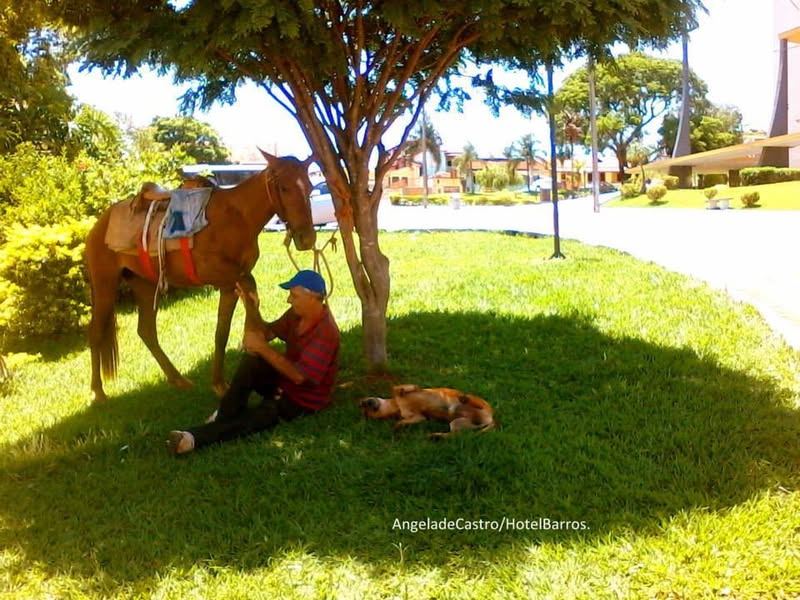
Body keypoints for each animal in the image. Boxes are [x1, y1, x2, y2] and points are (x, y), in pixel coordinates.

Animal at [84, 150, 316, 403]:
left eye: (310, 186)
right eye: (284, 187)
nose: (307, 239)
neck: (236, 217)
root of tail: (98, 225)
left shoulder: (228, 285)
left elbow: (221, 332)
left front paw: (219, 384)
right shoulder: (217, 273)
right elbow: (249, 285)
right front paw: (258, 333)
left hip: (145, 285)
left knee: (146, 331)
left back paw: (178, 379)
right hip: (105, 284)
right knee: (95, 332)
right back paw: (98, 392)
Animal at [359, 384, 495, 439]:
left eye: (364, 406)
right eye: (367, 412)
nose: (365, 403)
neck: (397, 406)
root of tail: (492, 419)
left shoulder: (408, 389)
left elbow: (400, 388)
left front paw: (402, 390)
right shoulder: (417, 417)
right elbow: (403, 421)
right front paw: (397, 427)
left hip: (479, 403)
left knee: (473, 400)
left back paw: (464, 398)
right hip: (457, 423)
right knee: (456, 435)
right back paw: (435, 436)